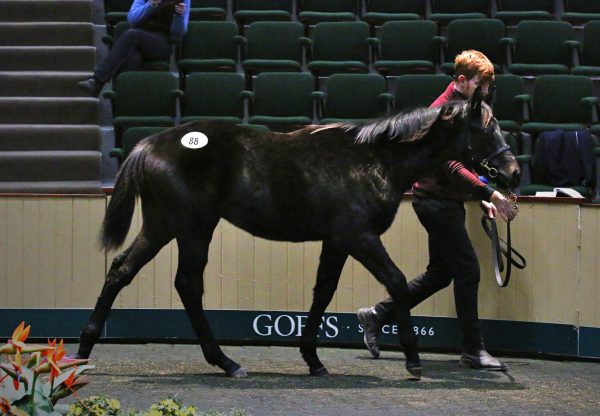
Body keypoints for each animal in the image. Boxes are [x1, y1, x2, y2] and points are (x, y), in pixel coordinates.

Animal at [77, 93, 520, 380]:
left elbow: (322, 292)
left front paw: (314, 360)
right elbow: (395, 282)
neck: (374, 160)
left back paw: (85, 352)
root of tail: (149, 144)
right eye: (487, 128)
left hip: (165, 225)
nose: (513, 173)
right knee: (185, 283)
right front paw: (412, 361)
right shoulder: (359, 237)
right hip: (190, 226)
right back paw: (225, 363)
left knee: (125, 271)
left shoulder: (337, 242)